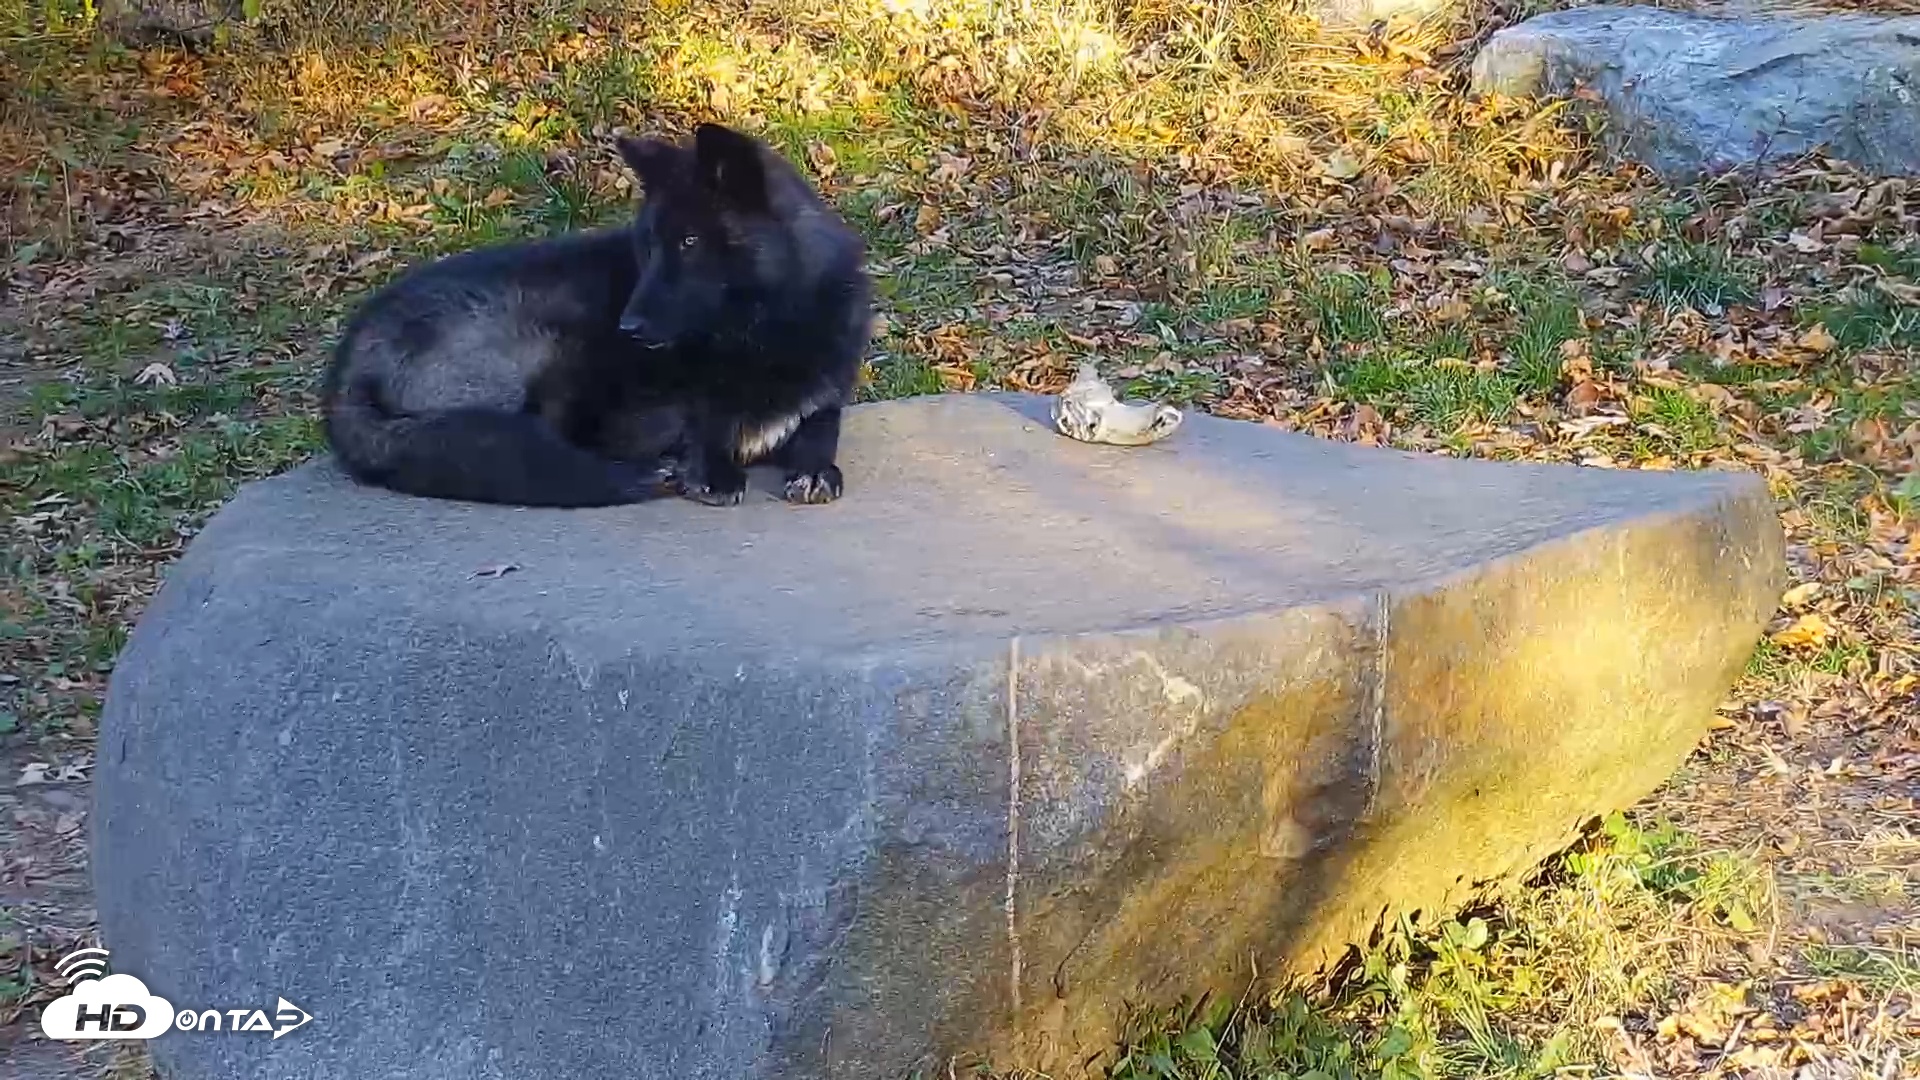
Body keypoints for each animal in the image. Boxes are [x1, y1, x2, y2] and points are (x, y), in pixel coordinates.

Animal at [319, 122, 873, 508]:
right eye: (648, 246)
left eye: (689, 242)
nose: (628, 328)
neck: (764, 332)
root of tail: (345, 370)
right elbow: (703, 424)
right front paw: (707, 469)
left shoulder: (823, 399)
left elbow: (821, 430)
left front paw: (815, 468)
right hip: (556, 343)